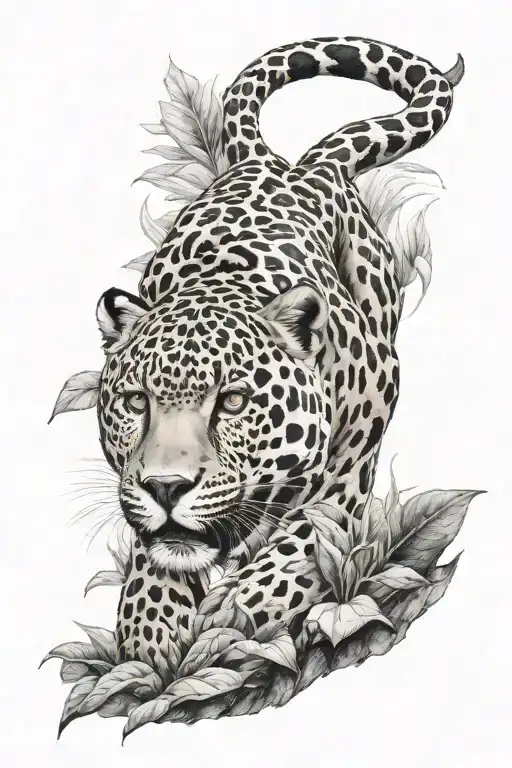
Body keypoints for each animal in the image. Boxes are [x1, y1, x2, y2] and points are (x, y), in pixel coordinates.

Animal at [93, 36, 464, 673]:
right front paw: (153, 637)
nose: (166, 488)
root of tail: (290, 166)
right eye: (136, 402)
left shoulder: (343, 482)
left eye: (234, 402)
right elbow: (156, 561)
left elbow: (291, 557)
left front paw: (228, 619)